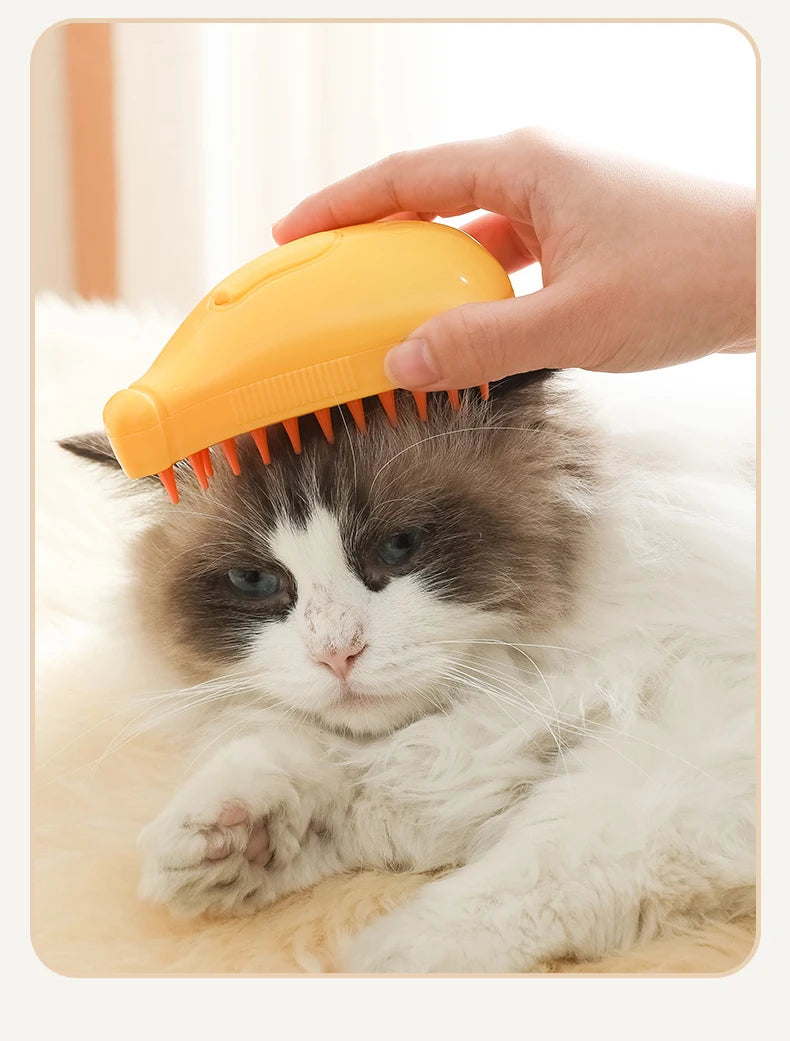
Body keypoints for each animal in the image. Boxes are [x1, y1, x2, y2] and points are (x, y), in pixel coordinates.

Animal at [60, 362, 753, 970]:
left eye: (398, 547)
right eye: (255, 581)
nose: (335, 651)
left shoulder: (691, 747)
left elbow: (538, 870)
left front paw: (384, 961)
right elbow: (300, 765)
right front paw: (222, 844)